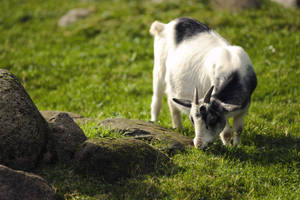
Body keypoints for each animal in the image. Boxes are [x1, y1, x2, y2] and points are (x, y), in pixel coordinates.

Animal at [150, 18, 258, 149]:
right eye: (192, 120)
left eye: (212, 119)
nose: (198, 144)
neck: (235, 71)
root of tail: (165, 26)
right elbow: (226, 133)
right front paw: (228, 147)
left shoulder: (243, 108)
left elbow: (238, 129)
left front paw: (236, 146)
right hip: (159, 68)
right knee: (157, 99)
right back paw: (154, 123)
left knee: (171, 101)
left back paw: (177, 127)